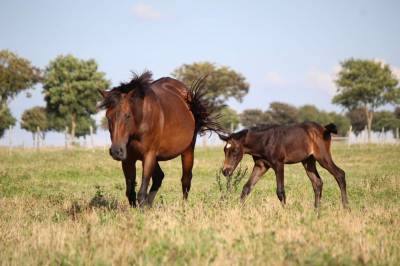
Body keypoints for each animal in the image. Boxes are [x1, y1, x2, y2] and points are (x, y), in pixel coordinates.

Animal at [98, 71, 220, 207]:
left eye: (127, 115)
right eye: (108, 117)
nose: (116, 151)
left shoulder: (148, 155)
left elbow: (141, 193)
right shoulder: (128, 160)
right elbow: (130, 192)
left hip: (187, 150)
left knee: (186, 179)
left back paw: (183, 206)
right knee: (159, 177)